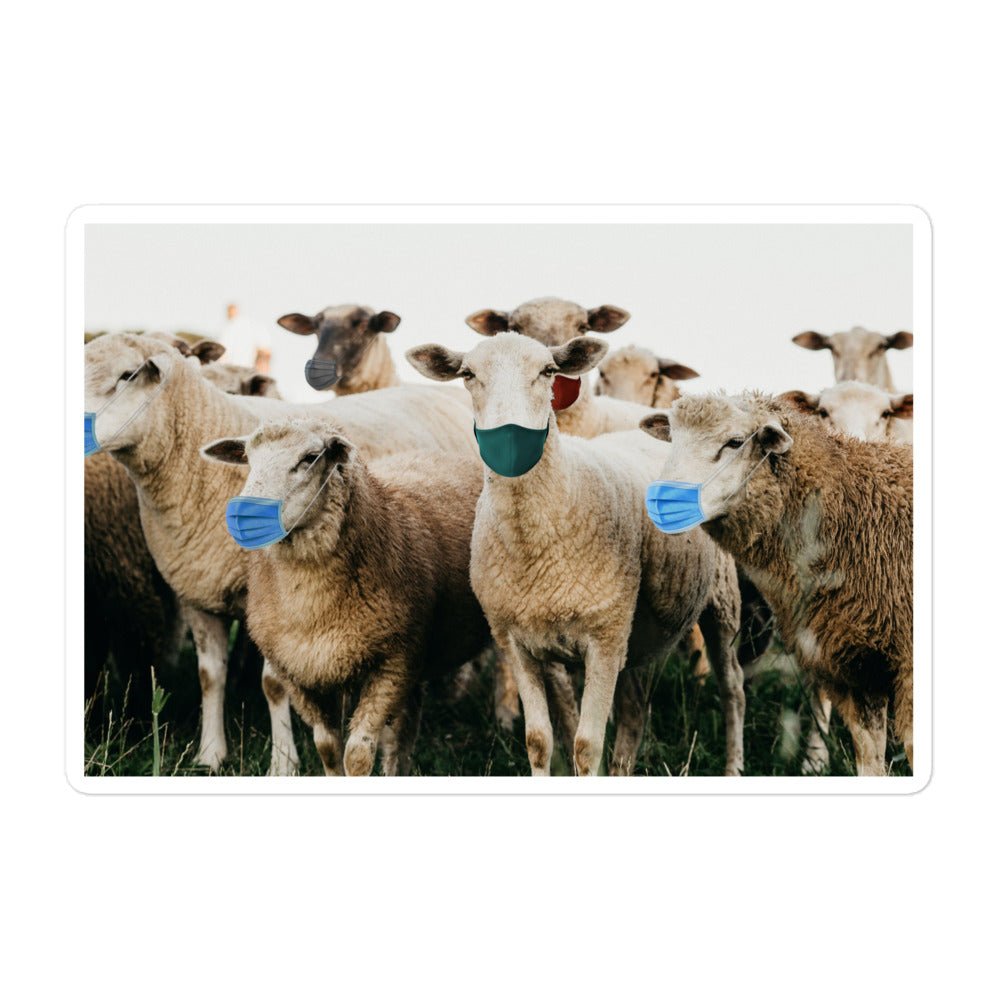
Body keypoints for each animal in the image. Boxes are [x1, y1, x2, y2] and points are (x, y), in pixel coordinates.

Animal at [201, 418, 493, 776]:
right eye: (248, 458)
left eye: (310, 457)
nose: (242, 514)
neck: (313, 606)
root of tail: (444, 455)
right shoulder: (306, 672)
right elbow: (328, 748)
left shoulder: (392, 663)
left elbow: (357, 753)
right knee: (406, 728)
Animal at [408, 331, 746, 776]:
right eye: (468, 374)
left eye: (548, 371)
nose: (507, 437)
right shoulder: (518, 642)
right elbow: (539, 741)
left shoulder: (603, 639)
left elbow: (586, 746)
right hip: (634, 628)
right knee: (635, 707)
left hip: (718, 600)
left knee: (733, 686)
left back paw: (733, 764)